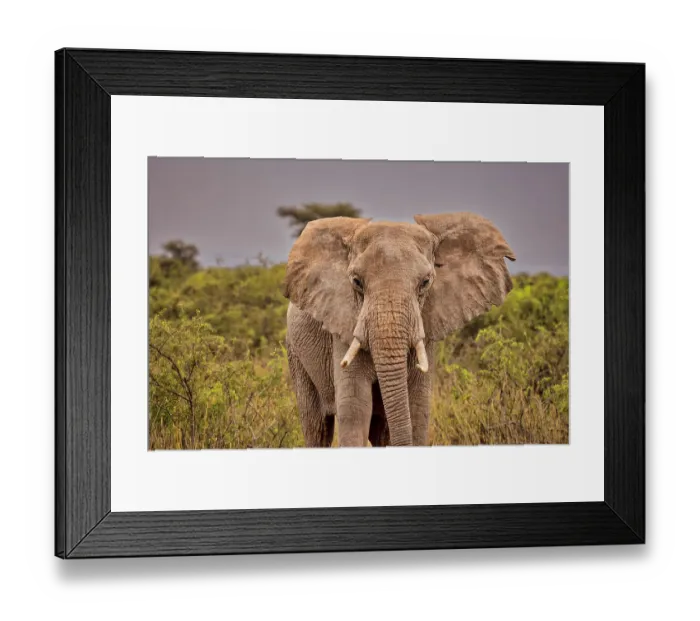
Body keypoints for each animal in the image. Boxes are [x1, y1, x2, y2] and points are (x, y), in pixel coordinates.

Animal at [282, 212, 515, 448]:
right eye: (356, 282)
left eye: (425, 282)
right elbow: (355, 407)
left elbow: (418, 409)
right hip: (295, 353)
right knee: (316, 426)